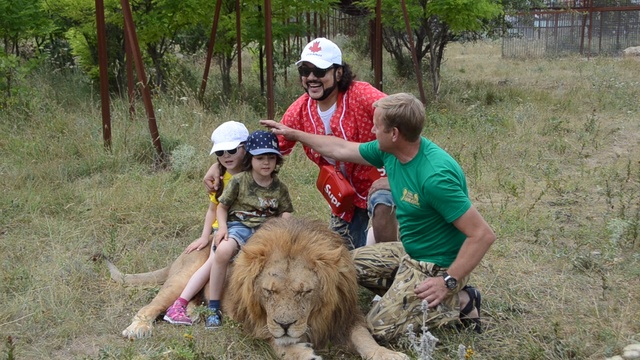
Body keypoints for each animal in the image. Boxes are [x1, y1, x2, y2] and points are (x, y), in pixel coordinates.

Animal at [107, 217, 408, 360]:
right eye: (269, 292)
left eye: (305, 292)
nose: (286, 325)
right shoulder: (256, 320)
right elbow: (279, 344)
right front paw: (301, 352)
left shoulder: (345, 313)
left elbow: (364, 339)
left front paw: (388, 354)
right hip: (183, 275)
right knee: (153, 304)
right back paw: (139, 327)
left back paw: (192, 313)